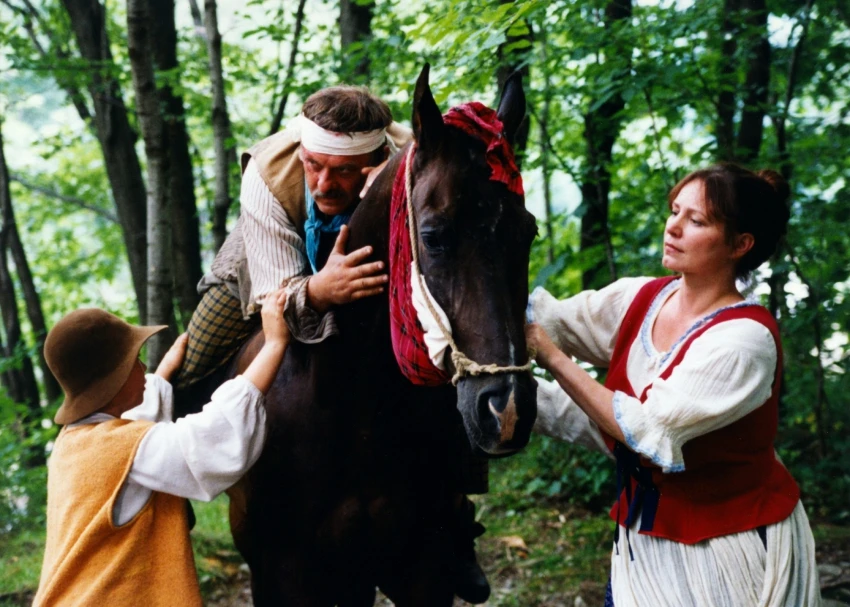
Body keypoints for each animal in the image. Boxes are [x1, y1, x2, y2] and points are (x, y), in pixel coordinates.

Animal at [190, 64, 540, 604]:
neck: (356, 410)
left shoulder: (421, 568)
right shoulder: (282, 573)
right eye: (433, 236)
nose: (508, 410)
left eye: (528, 233)